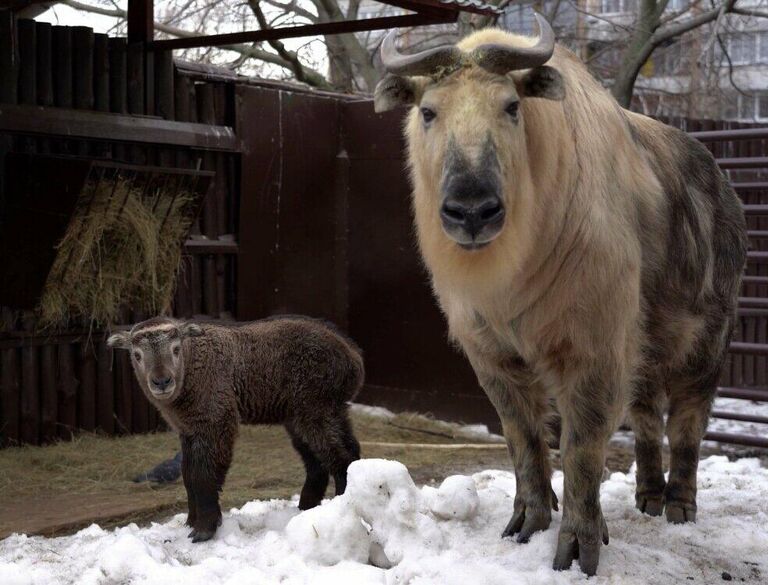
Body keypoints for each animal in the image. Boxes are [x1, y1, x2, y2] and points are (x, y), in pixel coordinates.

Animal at [107, 318, 366, 540]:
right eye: (137, 355)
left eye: (176, 349)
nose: (162, 382)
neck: (191, 366)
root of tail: (354, 359)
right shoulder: (188, 430)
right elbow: (188, 474)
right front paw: (190, 522)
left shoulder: (217, 421)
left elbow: (204, 476)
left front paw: (205, 529)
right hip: (314, 413)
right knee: (332, 458)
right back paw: (306, 509)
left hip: (315, 408)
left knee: (340, 459)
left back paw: (341, 508)